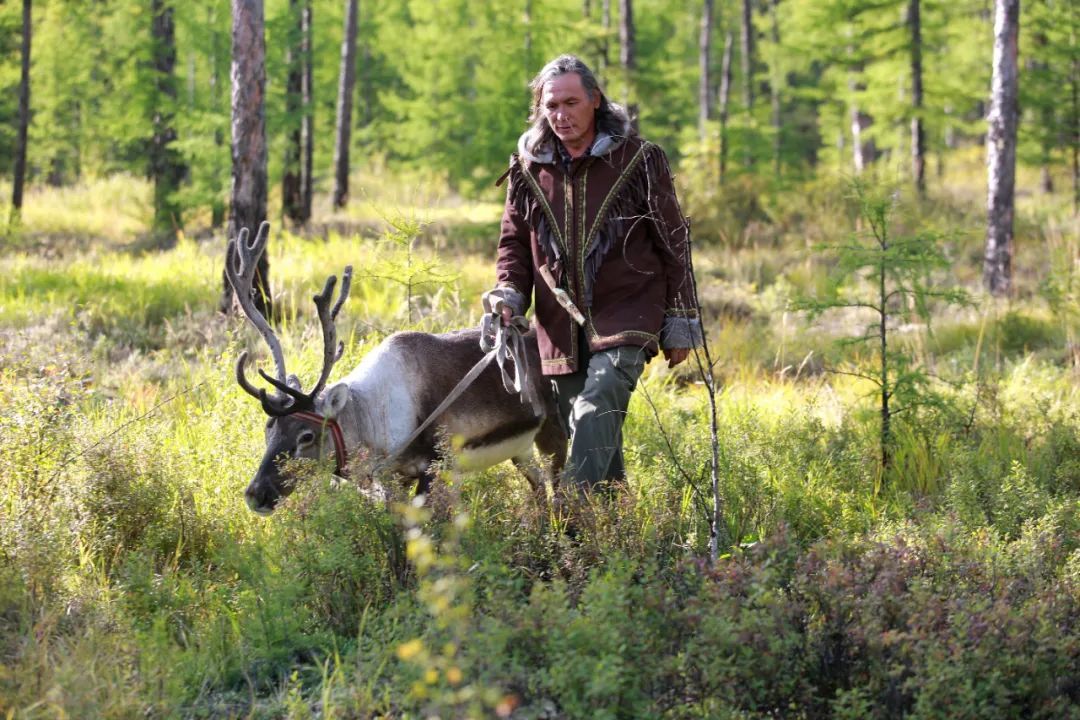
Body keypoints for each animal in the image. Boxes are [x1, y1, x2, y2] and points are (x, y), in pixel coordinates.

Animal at [226, 223, 567, 515]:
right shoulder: (394, 478)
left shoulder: (436, 466)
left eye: (306, 436)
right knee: (539, 489)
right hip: (520, 448)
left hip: (553, 431)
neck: (371, 418)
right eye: (268, 427)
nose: (256, 494)